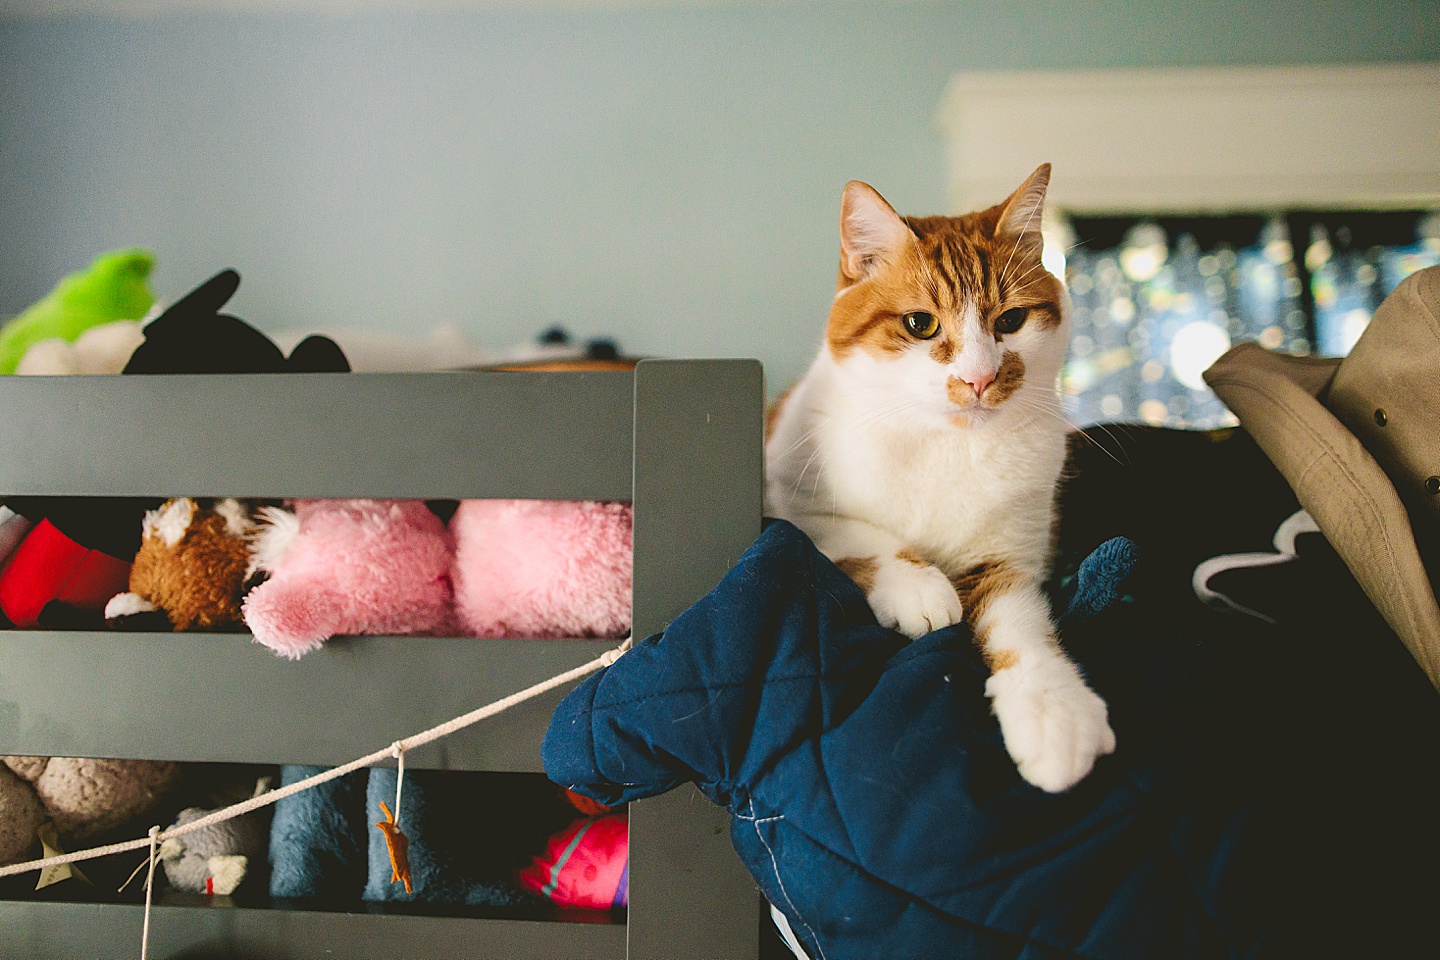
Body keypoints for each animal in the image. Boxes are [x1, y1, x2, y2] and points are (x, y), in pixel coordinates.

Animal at [766, 166, 1111, 794]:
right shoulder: (792, 500)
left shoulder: (1008, 556)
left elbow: (1023, 627)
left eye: (1010, 321)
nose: (979, 379)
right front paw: (920, 587)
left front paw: (1053, 710)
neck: (947, 445)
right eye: (919, 324)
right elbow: (863, 537)